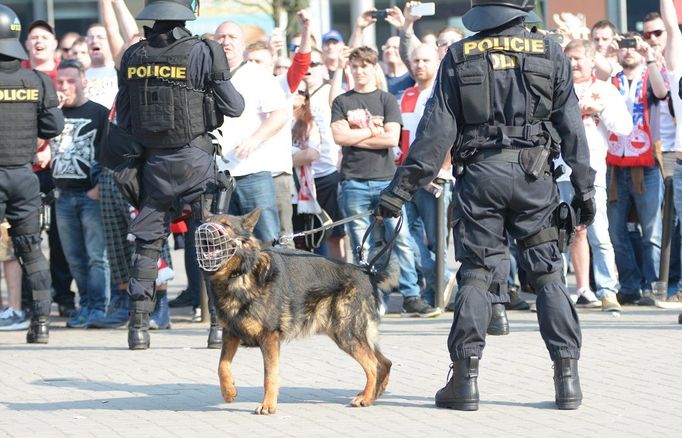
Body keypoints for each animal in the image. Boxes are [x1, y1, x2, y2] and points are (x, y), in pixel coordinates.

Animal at [202, 209, 394, 414]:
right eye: (204, 223)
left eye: (225, 225)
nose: (205, 232)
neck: (240, 274)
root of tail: (366, 271)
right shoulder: (230, 334)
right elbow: (222, 365)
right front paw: (228, 391)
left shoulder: (269, 338)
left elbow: (269, 375)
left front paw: (268, 405)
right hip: (345, 334)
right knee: (384, 362)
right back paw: (373, 395)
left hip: (346, 333)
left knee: (373, 365)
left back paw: (365, 397)